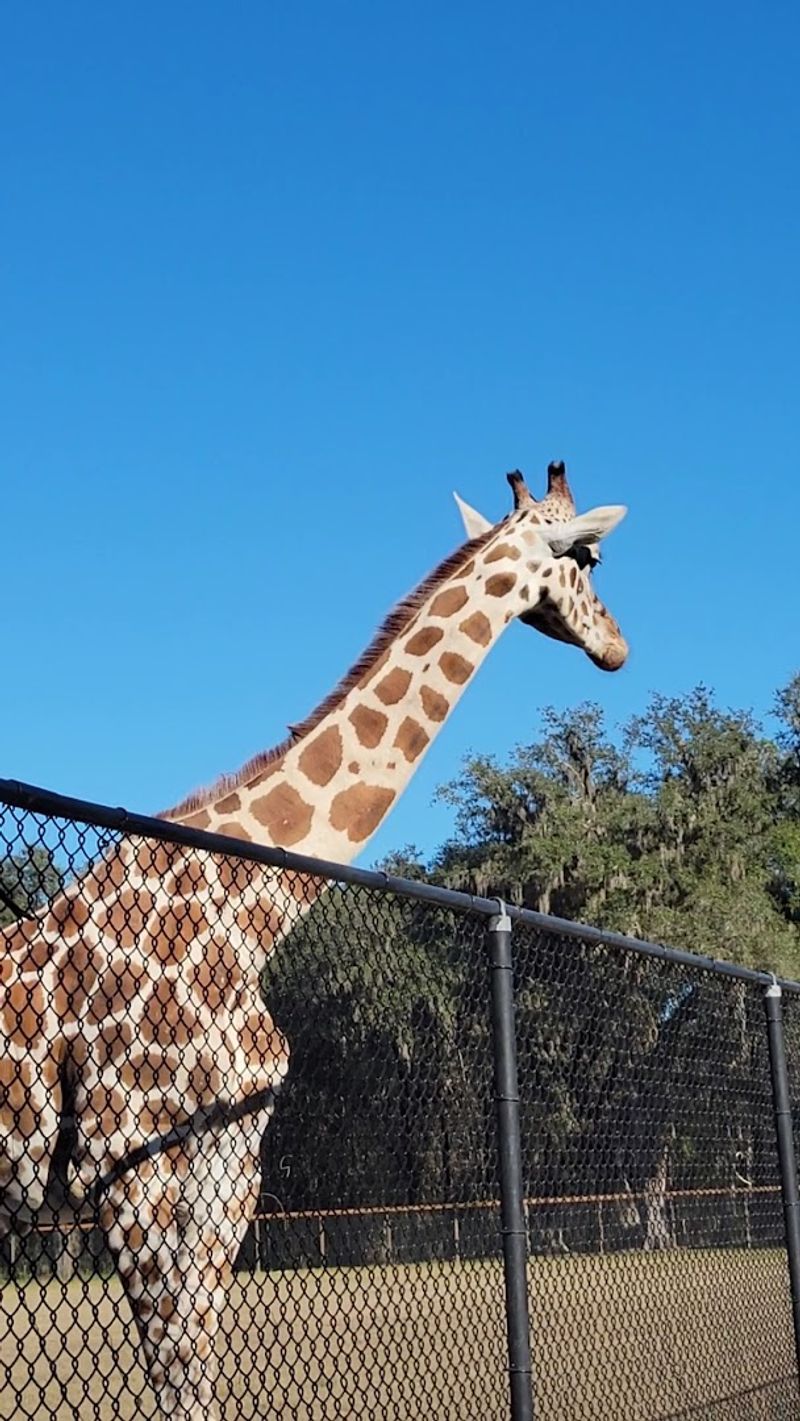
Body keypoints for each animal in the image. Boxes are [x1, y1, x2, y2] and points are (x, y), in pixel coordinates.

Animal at [0, 461, 627, 1418]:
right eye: (589, 557)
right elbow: (174, 1370)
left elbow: (196, 1361)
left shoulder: (231, 1146)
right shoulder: (122, 1144)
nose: (619, 647)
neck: (253, 909)